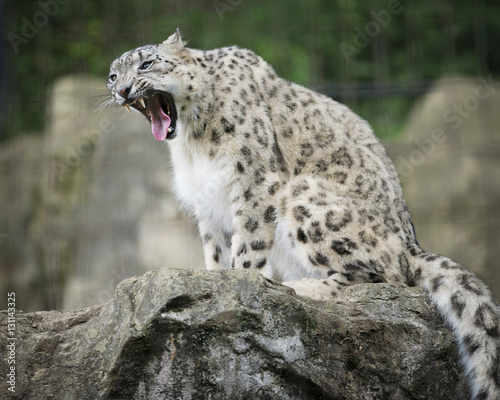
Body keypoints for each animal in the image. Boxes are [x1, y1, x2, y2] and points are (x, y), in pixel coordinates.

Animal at [107, 30, 500, 399]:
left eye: (146, 64)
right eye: (113, 75)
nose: (122, 90)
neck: (190, 140)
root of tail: (411, 244)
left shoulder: (254, 182)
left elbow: (248, 246)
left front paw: (242, 284)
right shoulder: (207, 205)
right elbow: (215, 251)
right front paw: (215, 285)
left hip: (304, 196)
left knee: (385, 276)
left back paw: (301, 287)